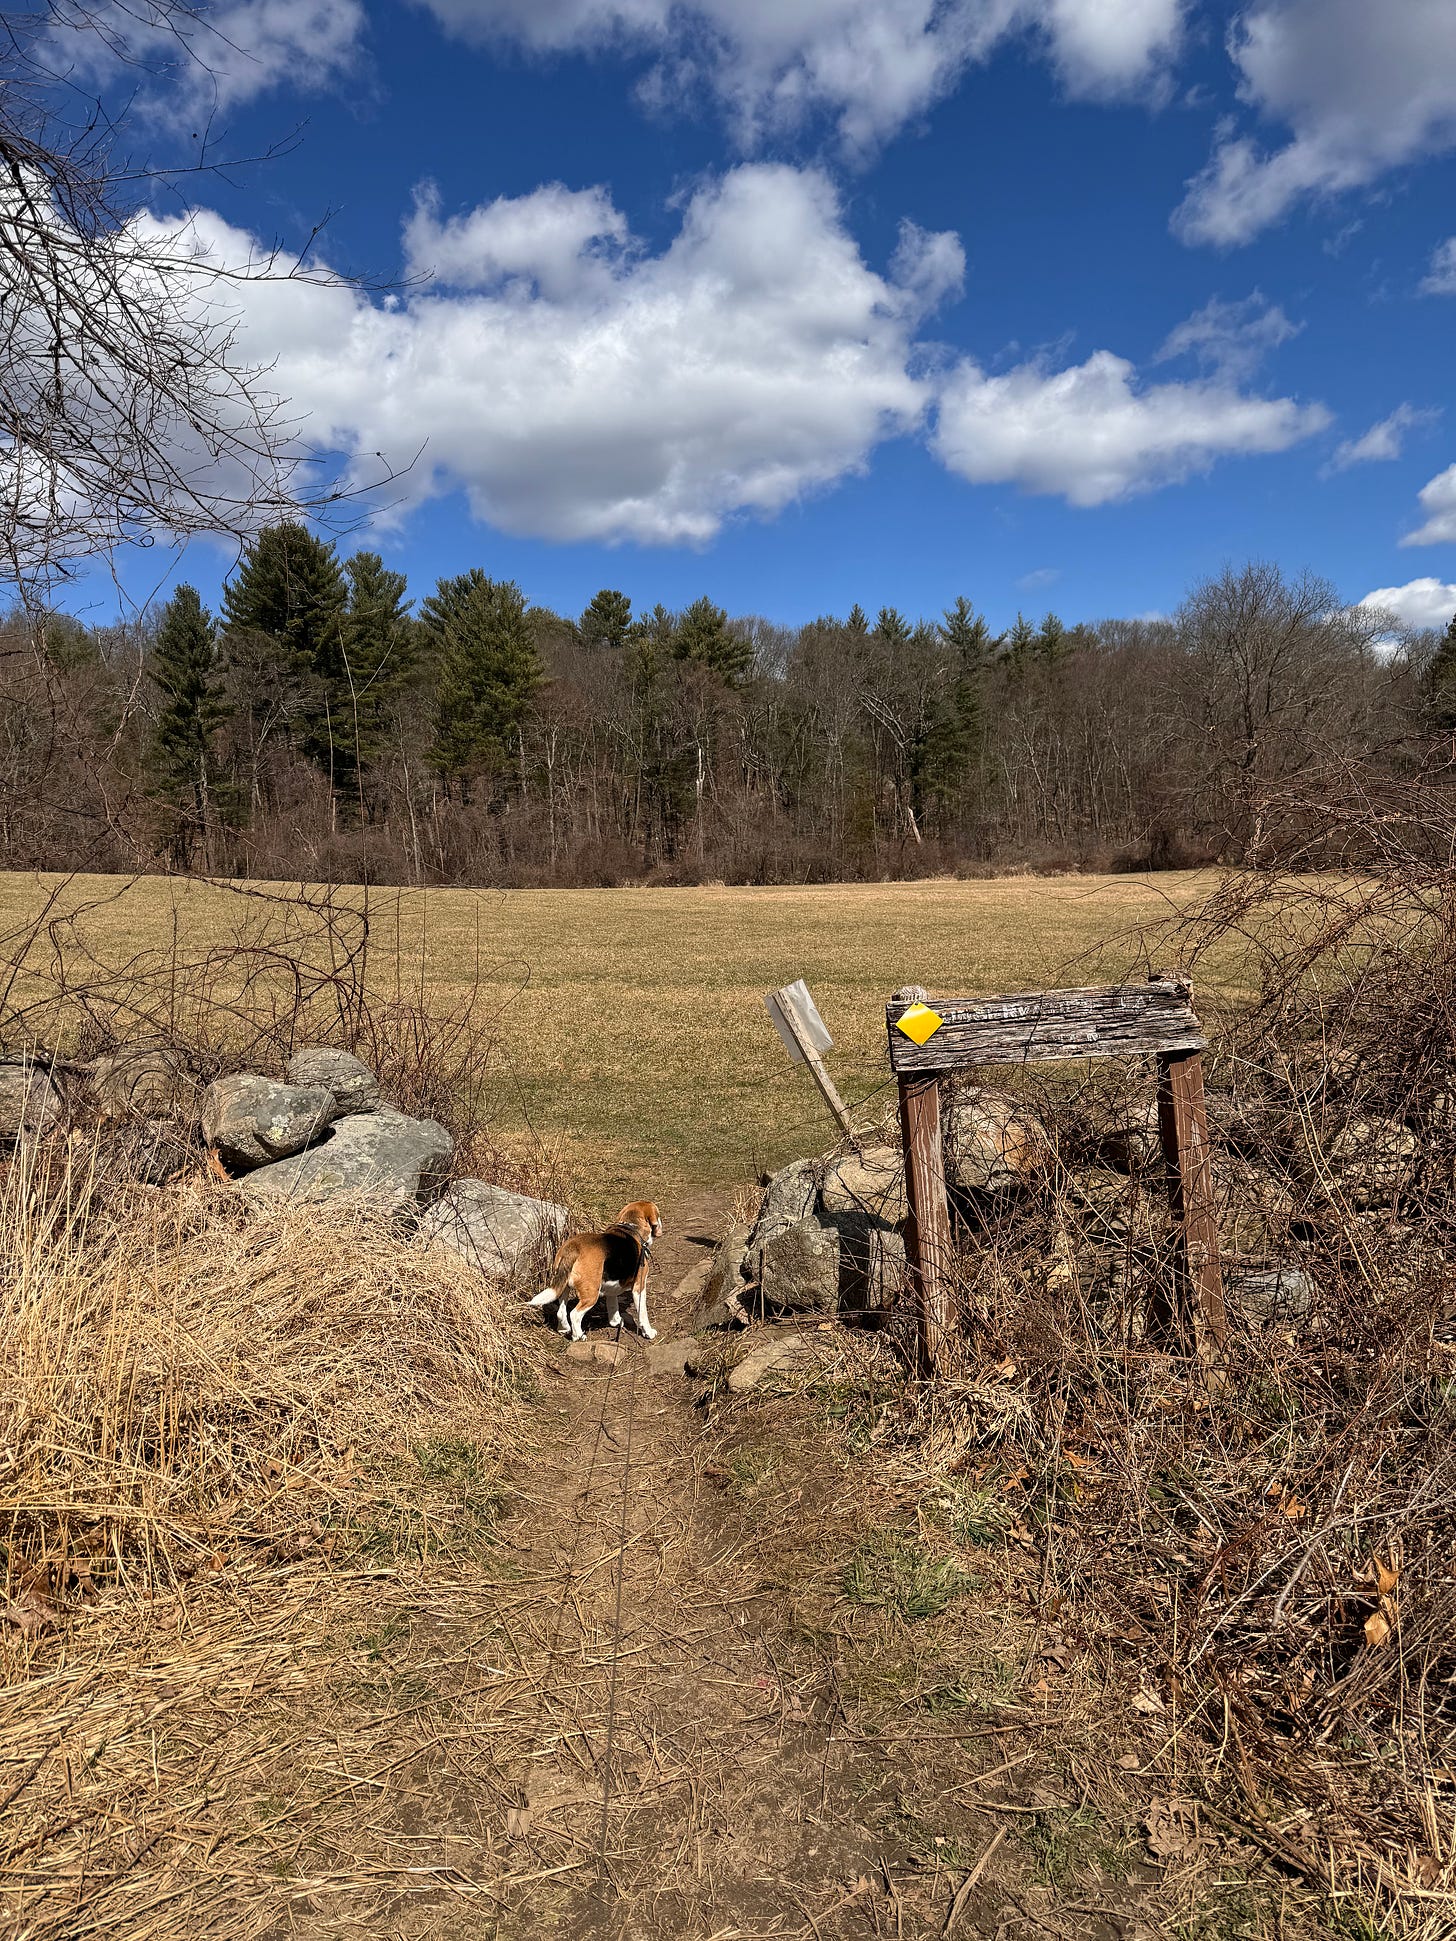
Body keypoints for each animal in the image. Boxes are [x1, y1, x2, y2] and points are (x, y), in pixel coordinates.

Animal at [531, 1187, 667, 1343]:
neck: (632, 1228)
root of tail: (573, 1248)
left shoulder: (612, 1285)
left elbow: (613, 1303)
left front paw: (616, 1321)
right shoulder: (639, 1286)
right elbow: (642, 1313)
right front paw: (648, 1332)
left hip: (563, 1286)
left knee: (561, 1311)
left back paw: (563, 1329)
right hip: (591, 1293)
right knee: (574, 1314)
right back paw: (579, 1336)